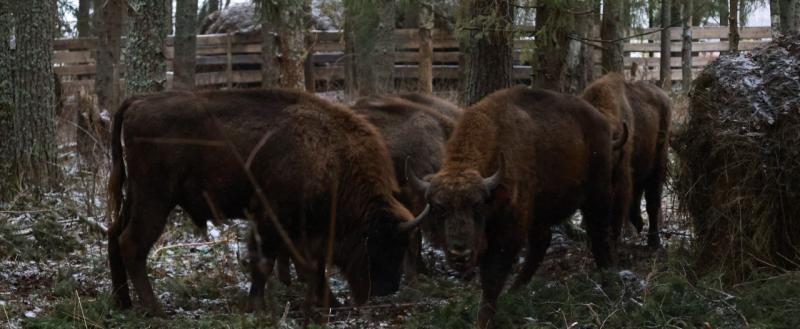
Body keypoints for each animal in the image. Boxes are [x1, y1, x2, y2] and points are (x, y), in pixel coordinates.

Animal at [106, 87, 424, 316]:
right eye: (377, 242)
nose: (386, 289)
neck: (331, 156)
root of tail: (137, 102)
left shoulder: (300, 229)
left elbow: (311, 266)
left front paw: (331, 303)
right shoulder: (272, 218)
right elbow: (267, 262)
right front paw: (257, 307)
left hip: (136, 197)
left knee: (114, 235)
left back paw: (123, 301)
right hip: (155, 199)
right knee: (131, 243)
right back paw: (155, 309)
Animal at [406, 86, 624, 326]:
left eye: (477, 206)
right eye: (440, 208)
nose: (459, 252)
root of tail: (603, 123)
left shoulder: (508, 233)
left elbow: (492, 277)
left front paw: (483, 320)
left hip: (597, 194)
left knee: (599, 233)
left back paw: (608, 279)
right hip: (541, 212)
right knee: (542, 243)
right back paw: (516, 290)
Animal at [580, 73, 672, 247]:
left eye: (607, 161)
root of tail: (665, 97)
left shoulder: (620, 179)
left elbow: (616, 211)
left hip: (658, 164)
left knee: (652, 201)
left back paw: (653, 241)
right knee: (638, 193)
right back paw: (639, 224)